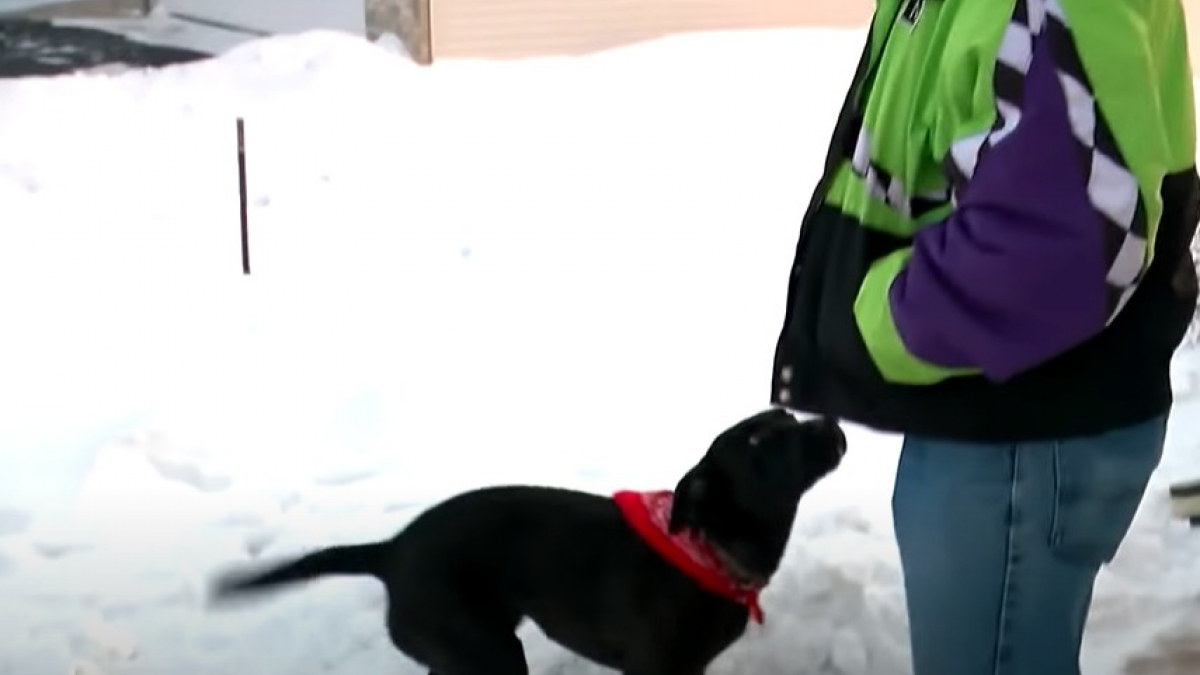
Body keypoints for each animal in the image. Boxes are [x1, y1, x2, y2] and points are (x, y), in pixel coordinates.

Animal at [208, 408, 844, 672]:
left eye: (787, 416)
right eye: (759, 442)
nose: (832, 424)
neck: (706, 547)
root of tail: (392, 550)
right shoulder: (653, 669)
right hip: (485, 652)